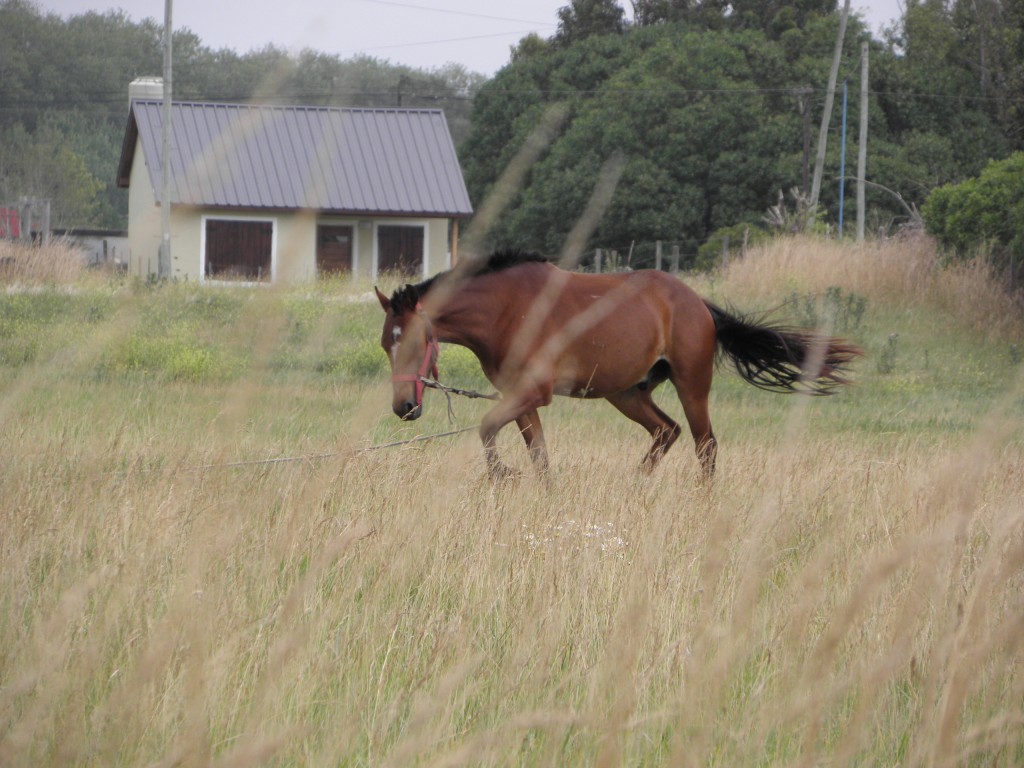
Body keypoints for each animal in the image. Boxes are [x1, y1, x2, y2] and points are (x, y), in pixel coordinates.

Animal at [372, 250, 860, 481]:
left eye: (415, 342)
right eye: (384, 345)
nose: (403, 407)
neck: (509, 309)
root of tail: (698, 303)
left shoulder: (532, 393)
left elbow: (488, 428)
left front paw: (502, 476)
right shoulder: (520, 397)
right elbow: (539, 456)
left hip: (691, 385)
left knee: (704, 445)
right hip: (626, 392)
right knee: (666, 432)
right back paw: (635, 486)